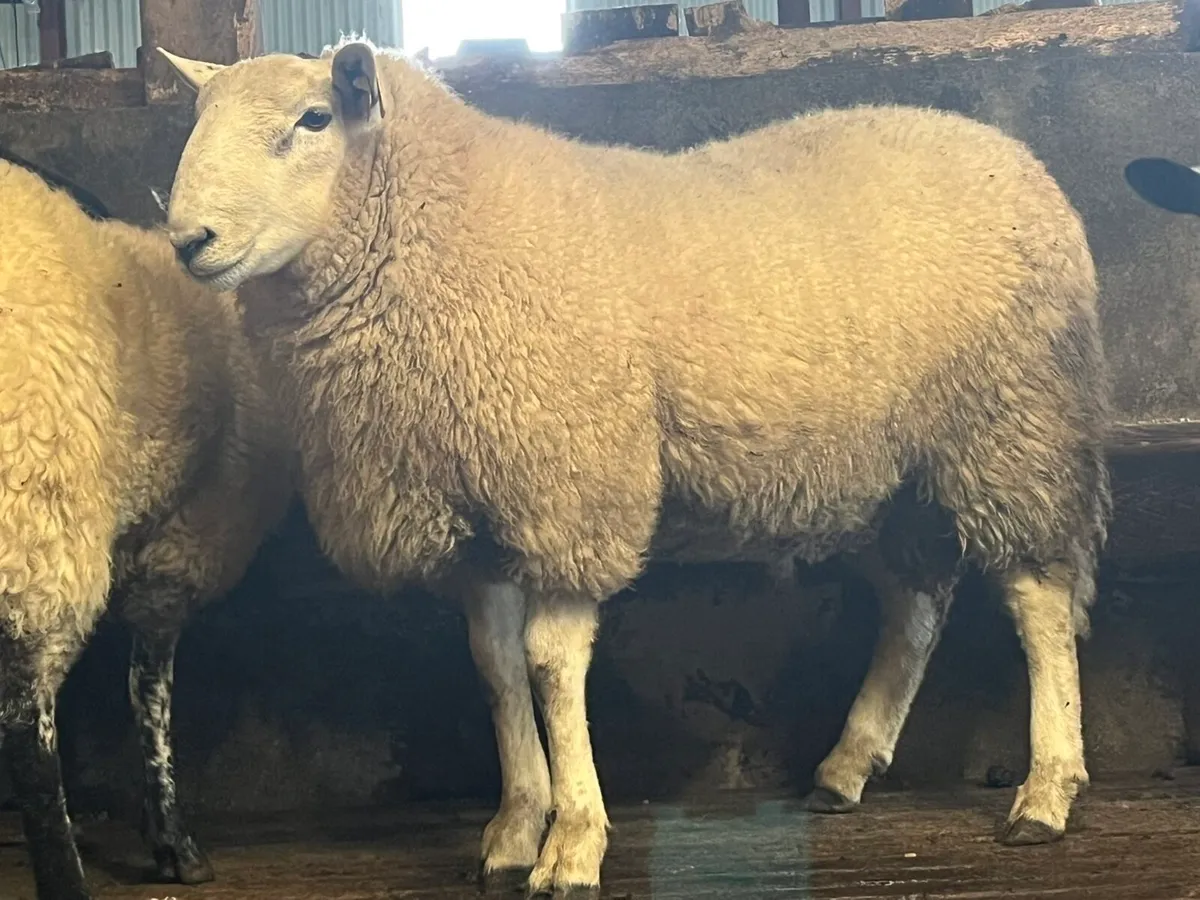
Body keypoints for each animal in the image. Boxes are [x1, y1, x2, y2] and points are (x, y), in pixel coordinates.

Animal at [0, 158, 293, 900]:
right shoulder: (179, 550)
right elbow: (150, 690)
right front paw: (172, 841)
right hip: (40, 503)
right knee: (24, 722)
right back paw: (64, 876)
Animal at [157, 38, 1112, 897]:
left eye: (313, 120)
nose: (189, 240)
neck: (441, 231)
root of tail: (1016, 157)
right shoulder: (479, 511)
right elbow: (494, 667)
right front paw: (513, 829)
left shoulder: (569, 486)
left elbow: (548, 665)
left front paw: (573, 841)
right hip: (902, 467)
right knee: (916, 602)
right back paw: (848, 764)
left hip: (1013, 422)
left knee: (1038, 600)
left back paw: (1046, 792)